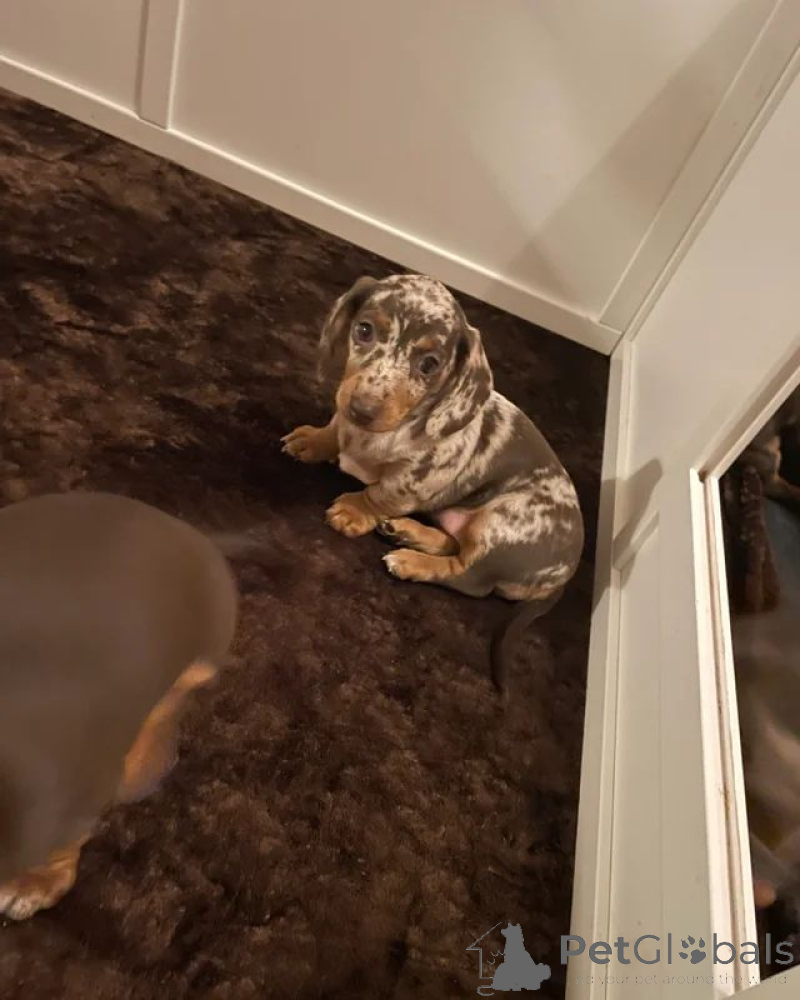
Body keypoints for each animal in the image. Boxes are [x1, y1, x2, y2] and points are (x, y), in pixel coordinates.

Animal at [282, 273, 584, 690]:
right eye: (364, 330)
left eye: (429, 364)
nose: (362, 409)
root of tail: (564, 575)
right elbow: (334, 428)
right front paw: (314, 441)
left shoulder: (418, 476)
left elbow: (381, 493)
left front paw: (354, 511)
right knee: (454, 543)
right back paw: (409, 532)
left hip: (501, 521)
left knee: (469, 576)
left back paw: (411, 561)